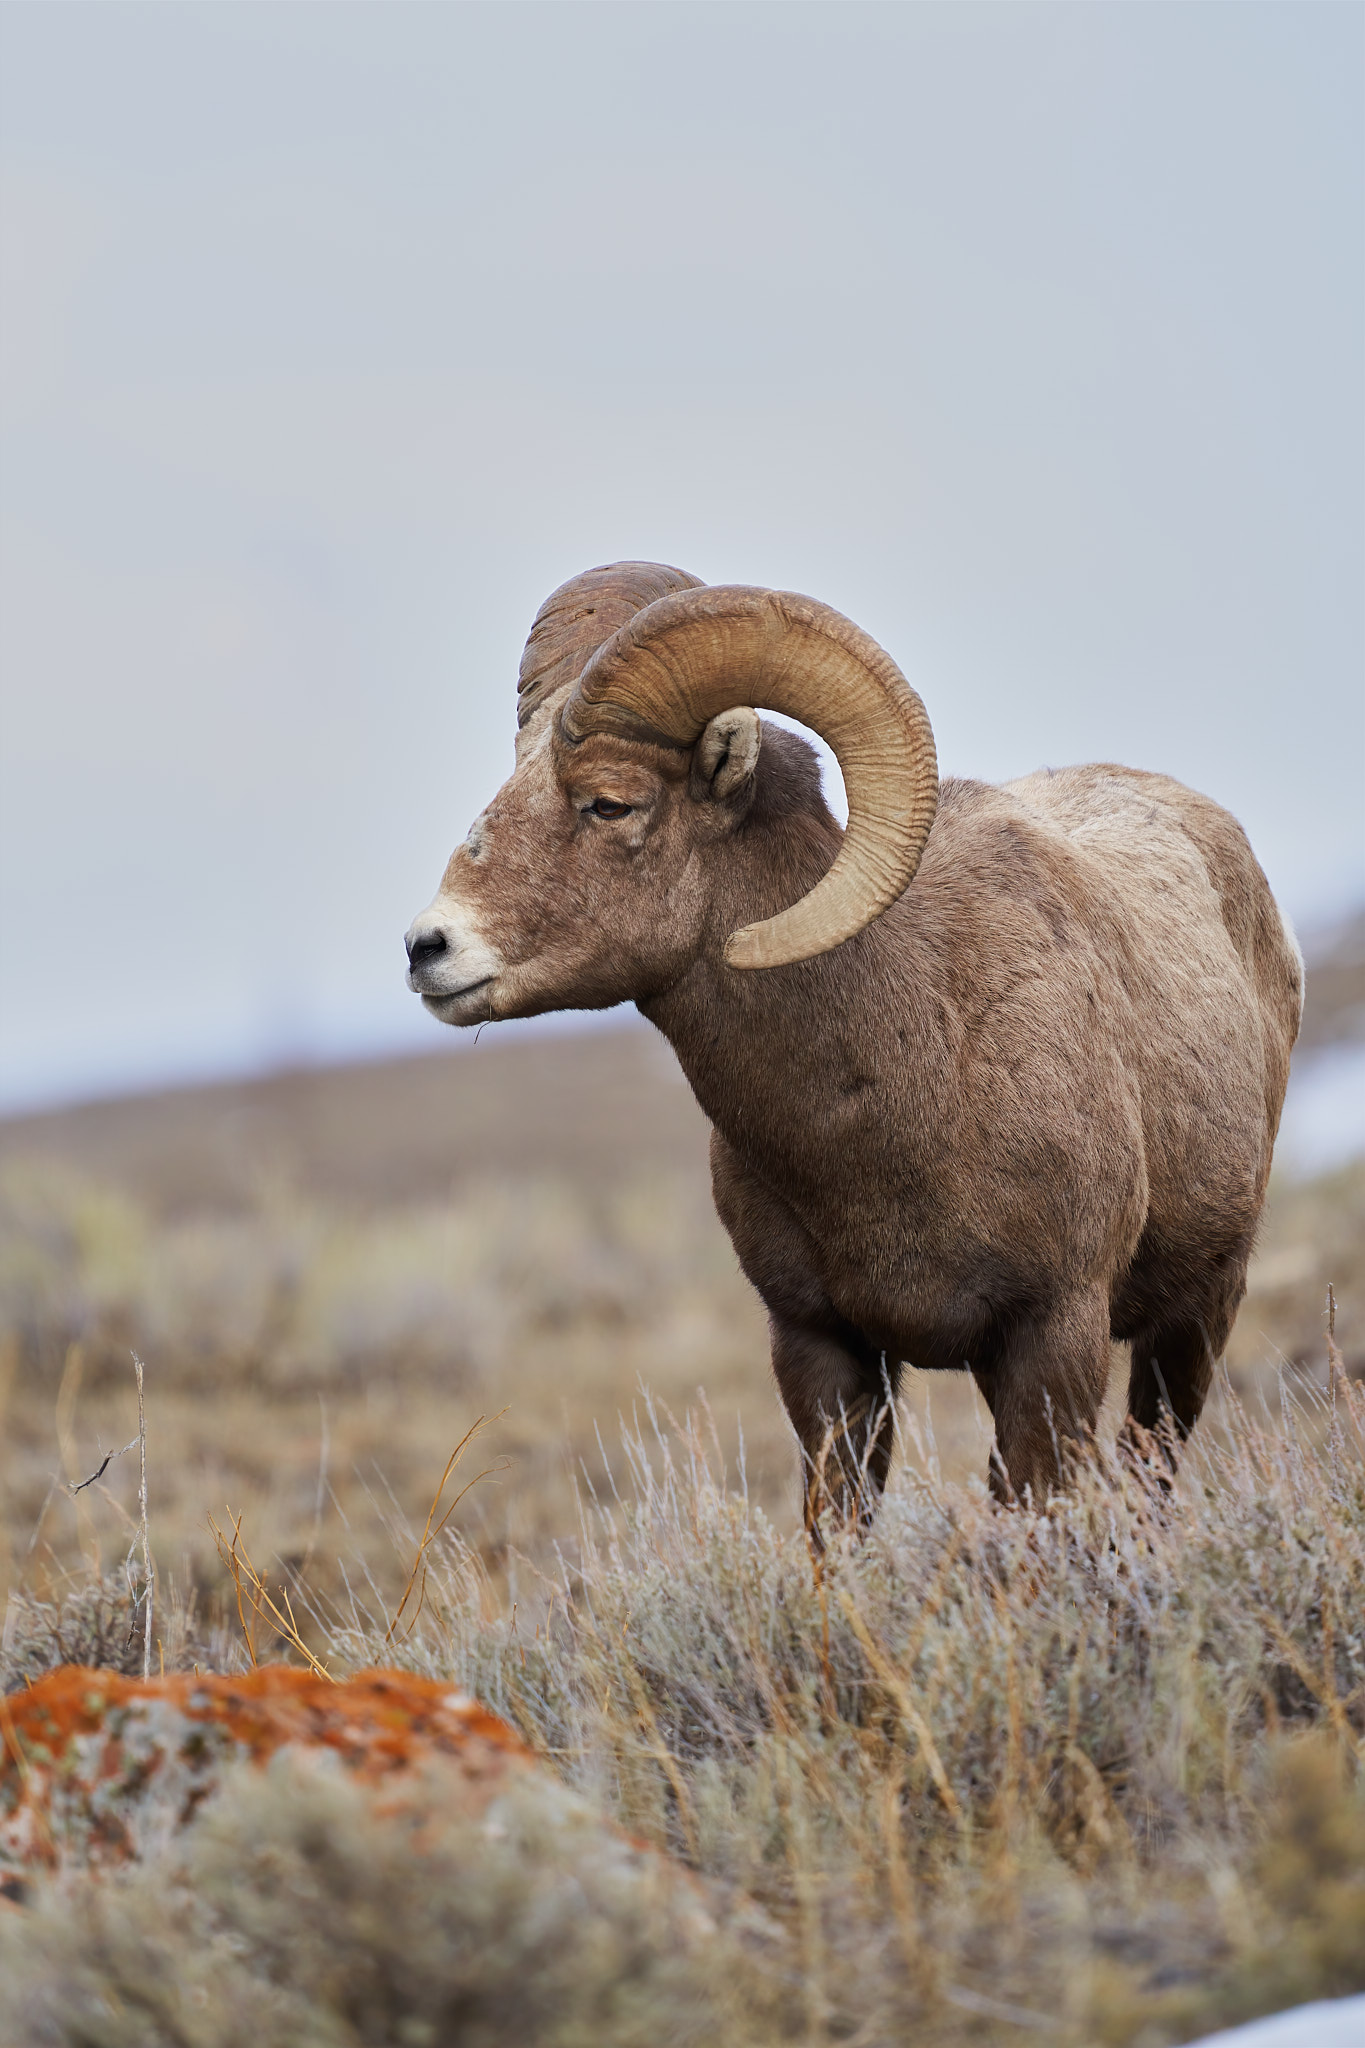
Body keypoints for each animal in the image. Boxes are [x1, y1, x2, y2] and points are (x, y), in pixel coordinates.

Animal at [405, 563, 1302, 1526]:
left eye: (610, 802)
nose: (427, 949)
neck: (909, 1084)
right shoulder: (821, 1351)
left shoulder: (1053, 1339)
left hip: (1197, 1318)